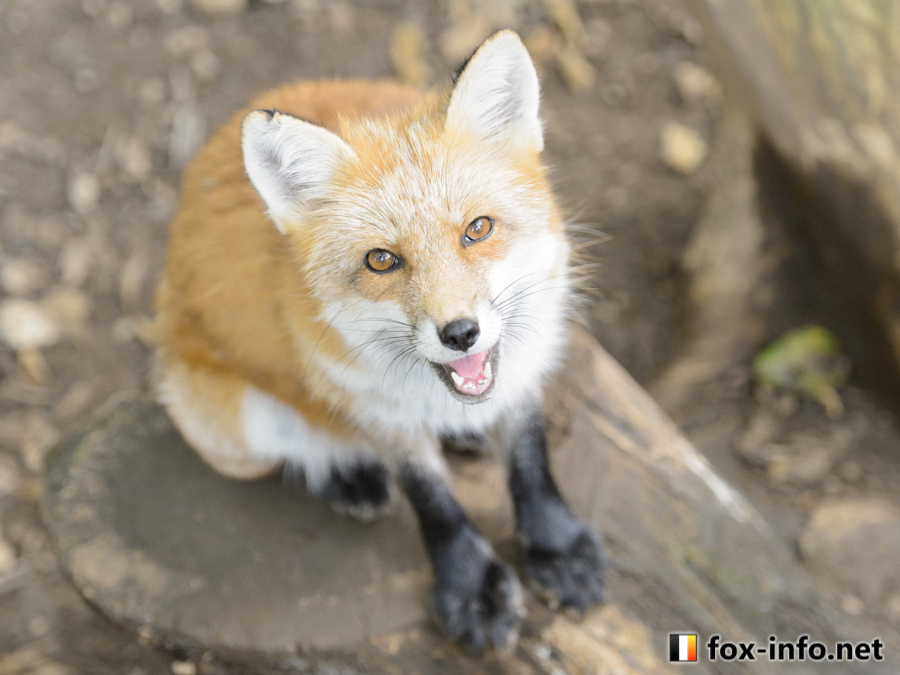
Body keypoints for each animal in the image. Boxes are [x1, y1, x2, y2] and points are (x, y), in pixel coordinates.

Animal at [155, 30, 604, 648]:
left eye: (478, 229)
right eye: (382, 260)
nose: (461, 334)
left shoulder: (522, 366)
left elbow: (530, 457)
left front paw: (556, 546)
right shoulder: (374, 406)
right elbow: (431, 498)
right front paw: (470, 586)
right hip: (230, 427)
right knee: (299, 449)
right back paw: (350, 476)